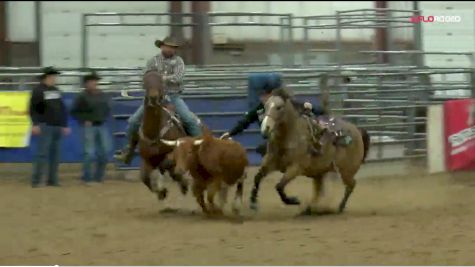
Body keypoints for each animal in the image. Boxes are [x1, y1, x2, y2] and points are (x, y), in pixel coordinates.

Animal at [139, 70, 189, 202]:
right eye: (145, 82)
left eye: (161, 81)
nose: (153, 97)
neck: (154, 133)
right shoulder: (147, 159)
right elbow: (145, 178)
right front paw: (161, 191)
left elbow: (168, 166)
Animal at [249, 88, 372, 216]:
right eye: (265, 106)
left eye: (279, 107)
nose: (265, 128)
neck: (290, 137)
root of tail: (357, 130)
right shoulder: (270, 161)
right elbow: (257, 177)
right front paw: (253, 202)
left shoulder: (295, 168)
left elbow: (279, 186)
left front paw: (294, 200)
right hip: (320, 172)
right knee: (319, 191)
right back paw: (309, 209)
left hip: (346, 171)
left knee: (351, 185)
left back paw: (339, 207)